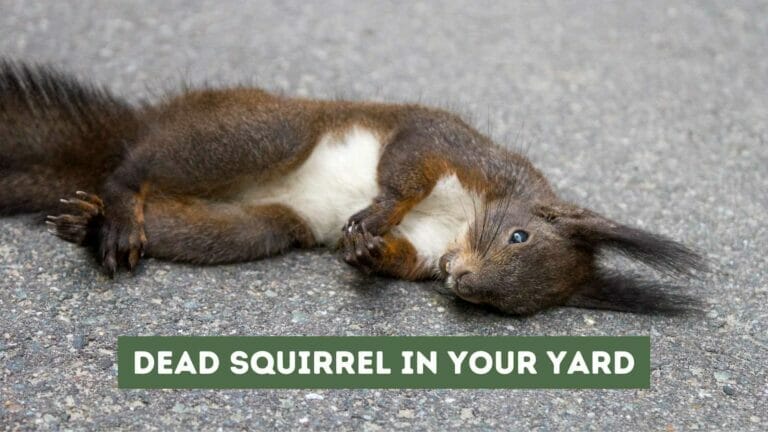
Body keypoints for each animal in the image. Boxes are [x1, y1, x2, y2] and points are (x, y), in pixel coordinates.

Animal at [0, 60, 706, 315]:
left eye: (509, 307)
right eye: (518, 235)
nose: (463, 280)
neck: (461, 224)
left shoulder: (429, 252)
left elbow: (403, 257)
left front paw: (370, 252)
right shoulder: (456, 146)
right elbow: (409, 164)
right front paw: (378, 214)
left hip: (256, 225)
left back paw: (88, 224)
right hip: (261, 133)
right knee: (130, 172)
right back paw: (117, 213)